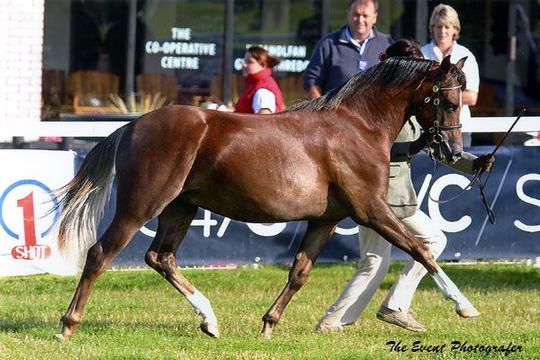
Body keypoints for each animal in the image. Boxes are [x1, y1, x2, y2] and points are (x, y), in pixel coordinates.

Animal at [56, 56, 476, 340]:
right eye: (450, 102)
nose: (453, 151)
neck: (356, 127)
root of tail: (132, 126)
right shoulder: (371, 209)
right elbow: (421, 250)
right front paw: (464, 306)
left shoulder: (326, 219)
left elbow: (300, 272)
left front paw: (268, 325)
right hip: (142, 204)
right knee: (101, 253)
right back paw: (68, 325)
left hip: (180, 207)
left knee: (161, 257)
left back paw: (210, 320)